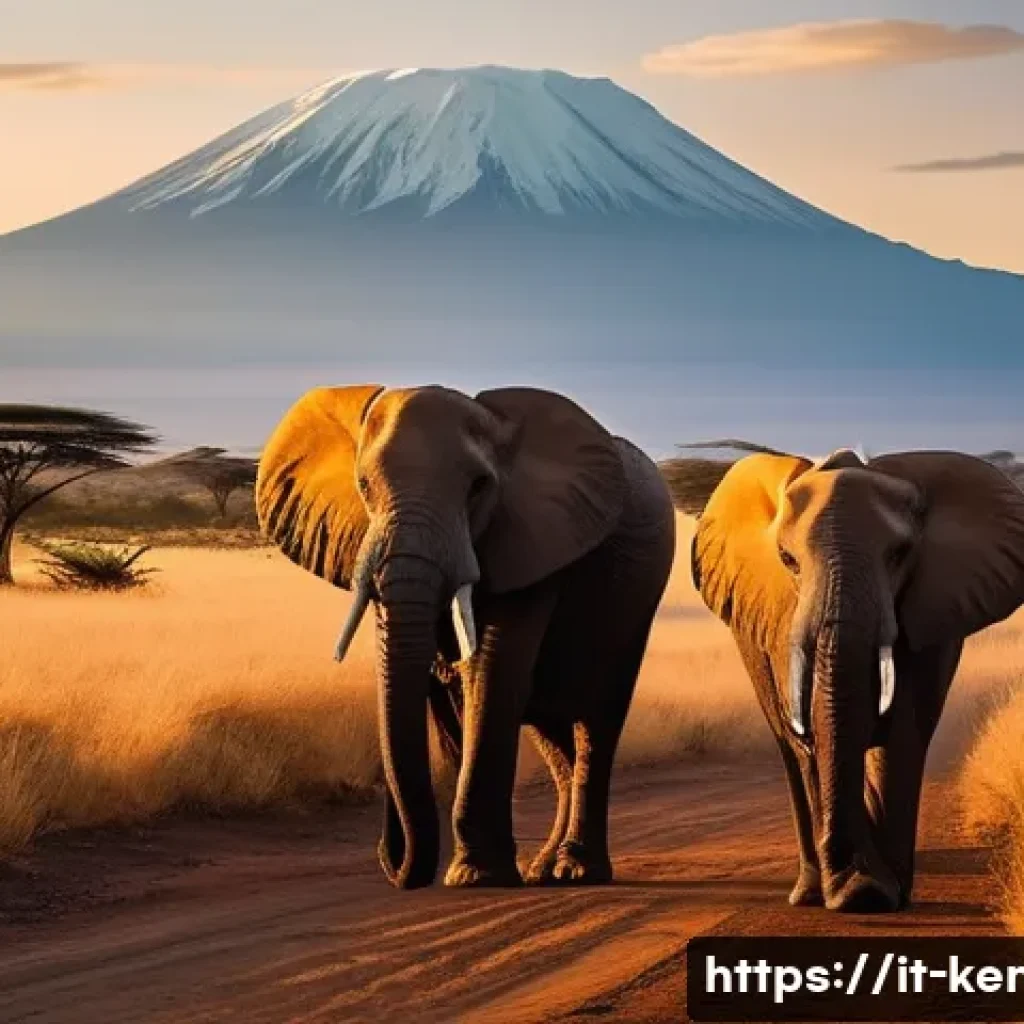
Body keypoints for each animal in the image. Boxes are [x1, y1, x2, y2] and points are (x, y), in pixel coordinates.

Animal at [256, 385, 675, 890]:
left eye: (478, 487)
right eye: (364, 486)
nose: (394, 862)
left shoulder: (531, 541)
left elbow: (490, 674)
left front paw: (476, 876)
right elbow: (454, 695)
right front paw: (479, 868)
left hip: (636, 605)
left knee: (597, 721)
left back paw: (577, 871)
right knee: (553, 735)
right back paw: (543, 869)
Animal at [691, 447, 1024, 912]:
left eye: (899, 554)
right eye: (787, 560)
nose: (851, 880)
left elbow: (900, 731)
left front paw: (877, 892)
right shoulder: (781, 623)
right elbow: (810, 732)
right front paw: (858, 889)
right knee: (788, 747)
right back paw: (809, 893)